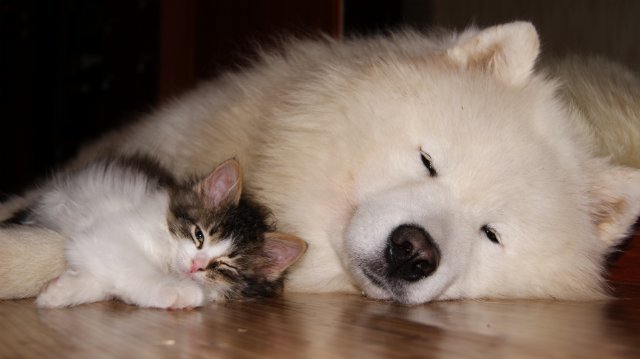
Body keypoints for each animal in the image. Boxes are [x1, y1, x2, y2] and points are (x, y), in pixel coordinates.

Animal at [11, 158, 306, 310]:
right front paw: (177, 291)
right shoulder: (109, 236)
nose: (196, 266)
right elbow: (132, 268)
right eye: (199, 235)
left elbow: (104, 279)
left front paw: (58, 292)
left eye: (224, 266)